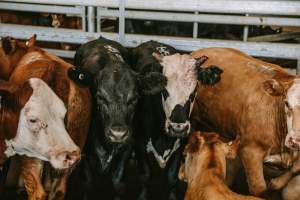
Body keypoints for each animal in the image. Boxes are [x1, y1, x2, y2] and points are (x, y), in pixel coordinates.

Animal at [132, 40, 223, 200]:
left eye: (194, 90)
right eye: (164, 90)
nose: (177, 128)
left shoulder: (181, 143)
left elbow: (172, 177)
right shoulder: (139, 142)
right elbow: (145, 176)